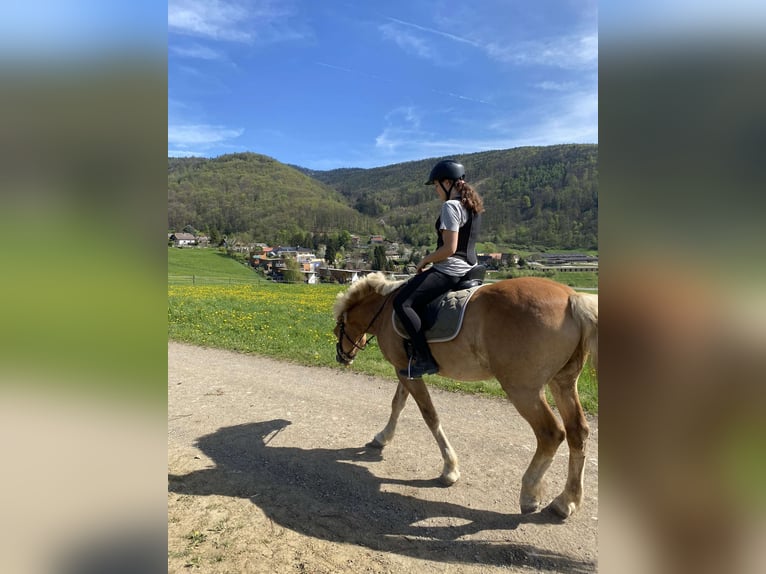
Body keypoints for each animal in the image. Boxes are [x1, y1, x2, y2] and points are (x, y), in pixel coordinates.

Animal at [334, 272, 600, 520]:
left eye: (338, 329)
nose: (341, 357)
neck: (386, 307)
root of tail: (571, 297)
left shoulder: (406, 372)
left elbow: (429, 415)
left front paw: (449, 469)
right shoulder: (405, 370)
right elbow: (397, 404)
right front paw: (382, 437)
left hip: (524, 390)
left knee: (551, 433)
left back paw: (529, 494)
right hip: (563, 383)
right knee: (578, 433)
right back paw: (567, 501)